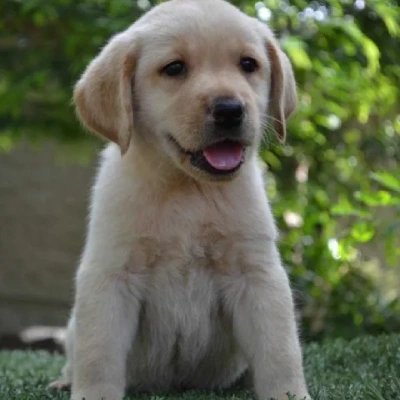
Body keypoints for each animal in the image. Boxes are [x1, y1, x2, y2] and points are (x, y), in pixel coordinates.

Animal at [50, 0, 310, 400]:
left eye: (248, 64)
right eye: (174, 68)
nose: (230, 109)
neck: (186, 188)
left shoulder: (257, 274)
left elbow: (280, 350)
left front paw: (288, 394)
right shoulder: (110, 276)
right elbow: (98, 353)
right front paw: (93, 393)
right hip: (72, 327)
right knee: (75, 354)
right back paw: (64, 379)